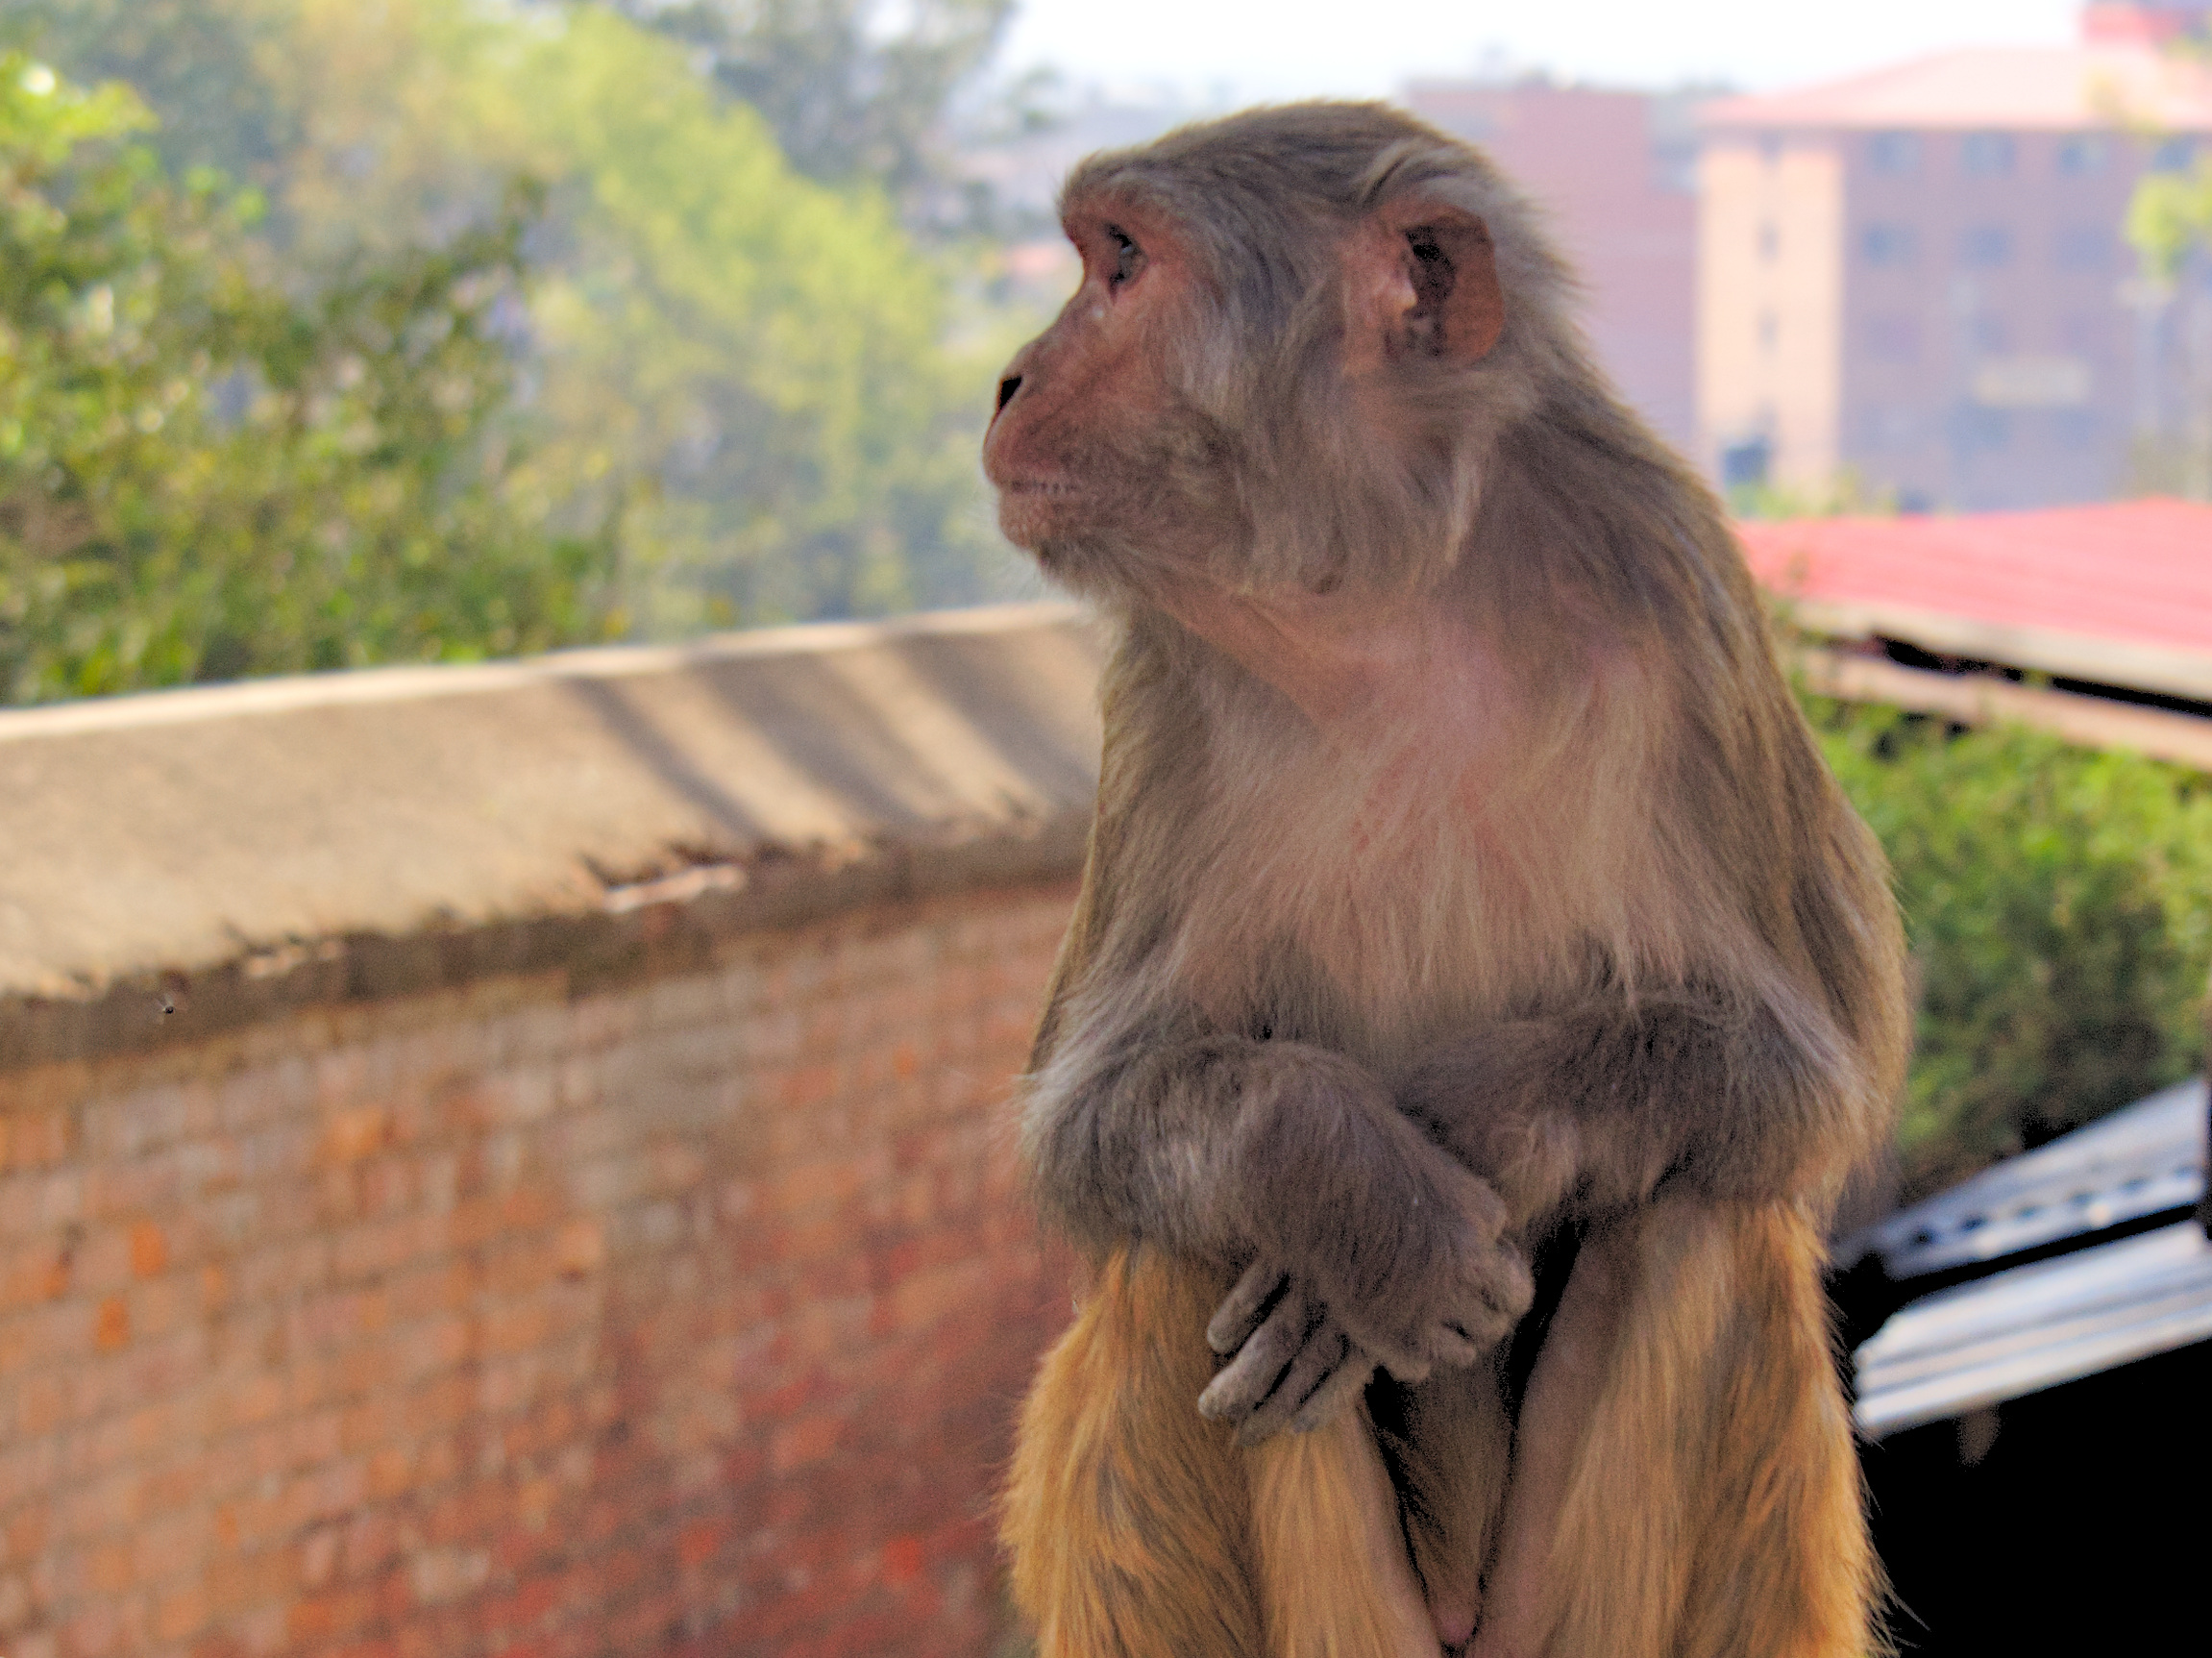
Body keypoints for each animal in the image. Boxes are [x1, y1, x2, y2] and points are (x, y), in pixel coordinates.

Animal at [984, 103, 1910, 1658]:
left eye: (1119, 264)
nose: (1004, 379)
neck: (1384, 606)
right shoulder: (1158, 696)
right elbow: (1088, 1122)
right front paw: (1350, 1193)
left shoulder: (1682, 594)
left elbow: (1814, 1075)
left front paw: (1486, 1124)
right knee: (1171, 1253)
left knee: (1696, 1217)